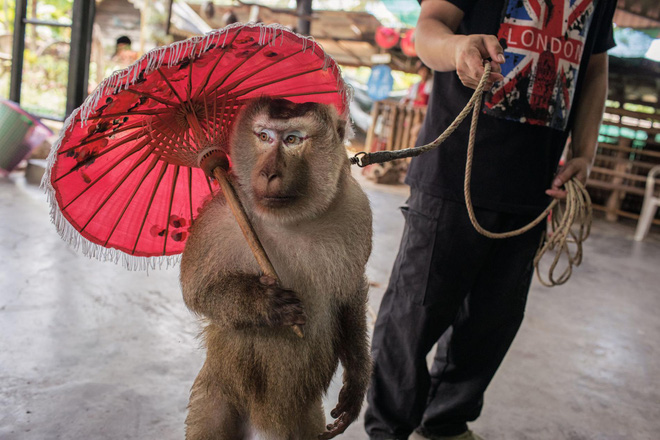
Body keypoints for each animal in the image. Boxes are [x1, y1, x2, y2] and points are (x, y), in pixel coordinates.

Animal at [180, 98, 374, 438]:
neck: (291, 219)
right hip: (217, 389)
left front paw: (356, 382)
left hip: (302, 419)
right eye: (264, 137)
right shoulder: (219, 216)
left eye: (292, 139)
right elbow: (197, 290)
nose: (269, 172)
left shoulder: (356, 210)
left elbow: (350, 292)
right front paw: (264, 303)